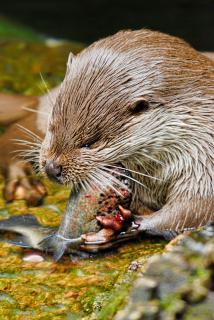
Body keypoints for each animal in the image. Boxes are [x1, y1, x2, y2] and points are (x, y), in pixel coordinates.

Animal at [37, 27, 214, 241]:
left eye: (90, 143)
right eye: (51, 126)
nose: (51, 168)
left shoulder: (205, 160)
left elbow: (194, 208)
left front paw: (129, 223)